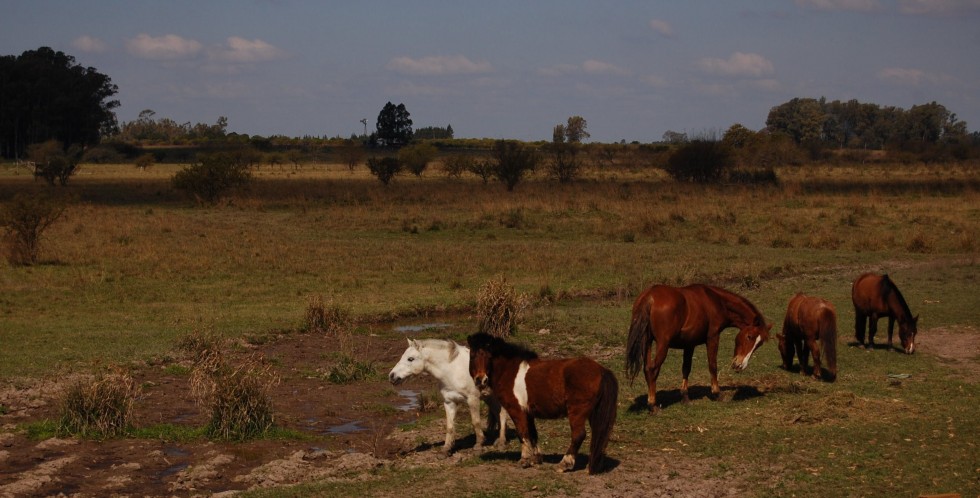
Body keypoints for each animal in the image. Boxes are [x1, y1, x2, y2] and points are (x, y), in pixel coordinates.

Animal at [464, 332, 616, 472]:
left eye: (489, 356)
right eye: (472, 356)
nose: (480, 380)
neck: (509, 371)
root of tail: (601, 370)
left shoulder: (516, 411)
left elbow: (522, 433)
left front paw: (524, 460)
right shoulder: (528, 412)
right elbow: (533, 433)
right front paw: (536, 458)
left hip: (577, 413)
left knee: (578, 435)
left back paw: (564, 464)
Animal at [628, 282, 772, 414]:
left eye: (759, 344)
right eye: (749, 336)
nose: (740, 365)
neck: (716, 301)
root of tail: (650, 296)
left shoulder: (689, 344)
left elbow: (686, 369)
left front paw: (685, 397)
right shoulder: (713, 338)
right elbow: (712, 365)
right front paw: (717, 393)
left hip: (647, 342)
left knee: (647, 369)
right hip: (663, 345)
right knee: (652, 369)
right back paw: (653, 405)